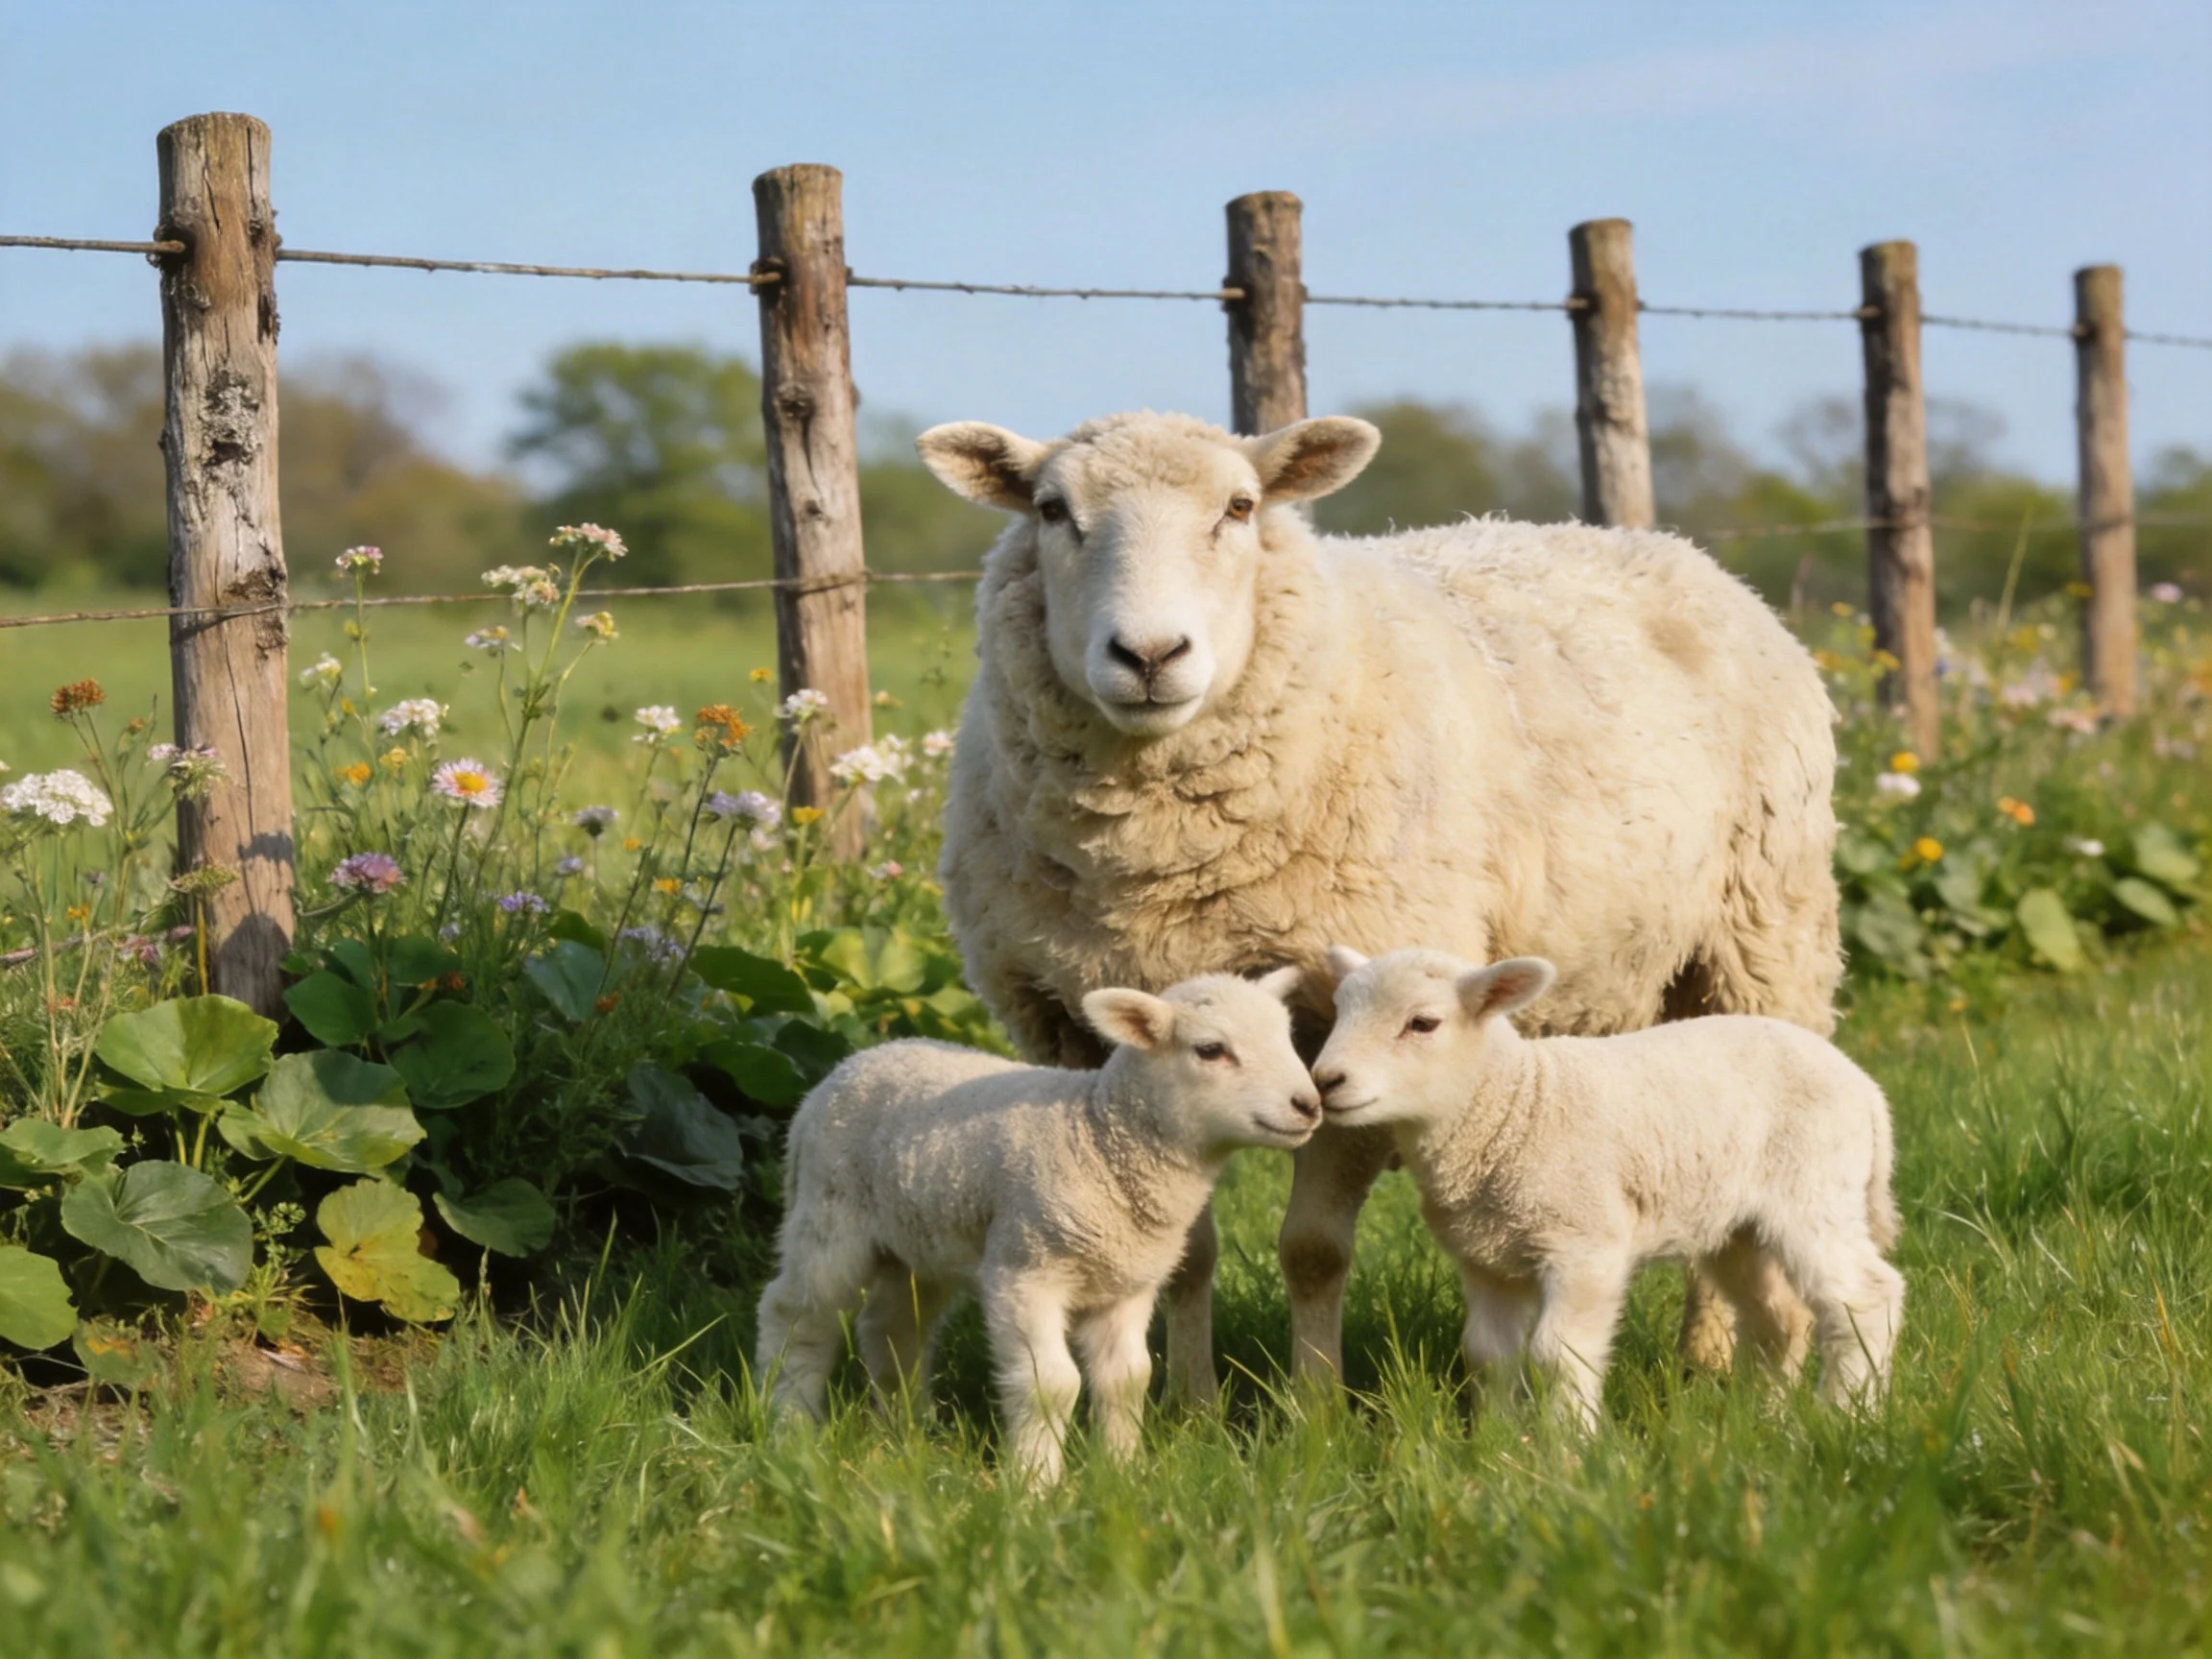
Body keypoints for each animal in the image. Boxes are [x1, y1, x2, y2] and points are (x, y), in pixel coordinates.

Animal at [753, 968, 1319, 1487]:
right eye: (1210, 1050)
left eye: (1287, 1039)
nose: (1308, 1105)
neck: (1101, 1137)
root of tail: (850, 1064)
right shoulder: (1026, 1271)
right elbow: (1052, 1384)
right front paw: (1036, 1485)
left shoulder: (1126, 1286)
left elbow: (1127, 1378)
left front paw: (1123, 1473)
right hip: (829, 1218)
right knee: (797, 1314)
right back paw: (789, 1425)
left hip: (919, 1241)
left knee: (892, 1326)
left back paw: (906, 1429)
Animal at [915, 409, 1842, 1398]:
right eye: (1053, 510)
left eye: (1240, 507)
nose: (1150, 656)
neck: (1161, 870)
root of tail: (1665, 546)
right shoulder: (1092, 1044)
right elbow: (1183, 1251)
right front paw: (1193, 1404)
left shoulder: (1344, 1032)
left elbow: (1314, 1250)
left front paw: (1314, 1405)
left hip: (1763, 944)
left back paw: (1713, 1361)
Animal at [1310, 946, 1903, 1427]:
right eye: (1341, 1012)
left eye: (1423, 1023)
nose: (1325, 1081)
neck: (1514, 1106)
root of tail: (1865, 1086)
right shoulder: (1487, 1260)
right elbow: (1487, 1354)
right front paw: (1495, 1446)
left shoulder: (1584, 1245)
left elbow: (1558, 1355)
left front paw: (1568, 1452)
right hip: (1737, 1225)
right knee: (1779, 1318)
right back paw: (1759, 1418)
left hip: (1815, 1188)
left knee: (1866, 1297)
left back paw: (1848, 1416)